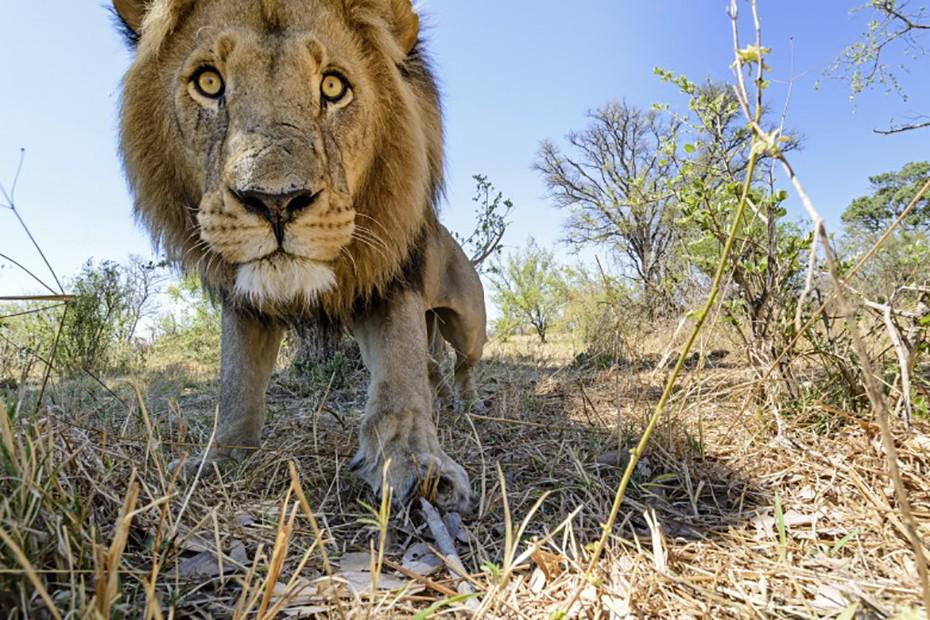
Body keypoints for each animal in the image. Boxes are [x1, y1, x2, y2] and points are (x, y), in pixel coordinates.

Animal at [112, 0, 486, 513]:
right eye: (208, 82)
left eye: (332, 86)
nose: (275, 202)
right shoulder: (244, 304)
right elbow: (237, 383)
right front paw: (216, 458)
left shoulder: (390, 283)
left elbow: (399, 376)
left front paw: (417, 466)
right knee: (433, 367)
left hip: (469, 325)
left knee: (462, 364)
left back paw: (467, 403)